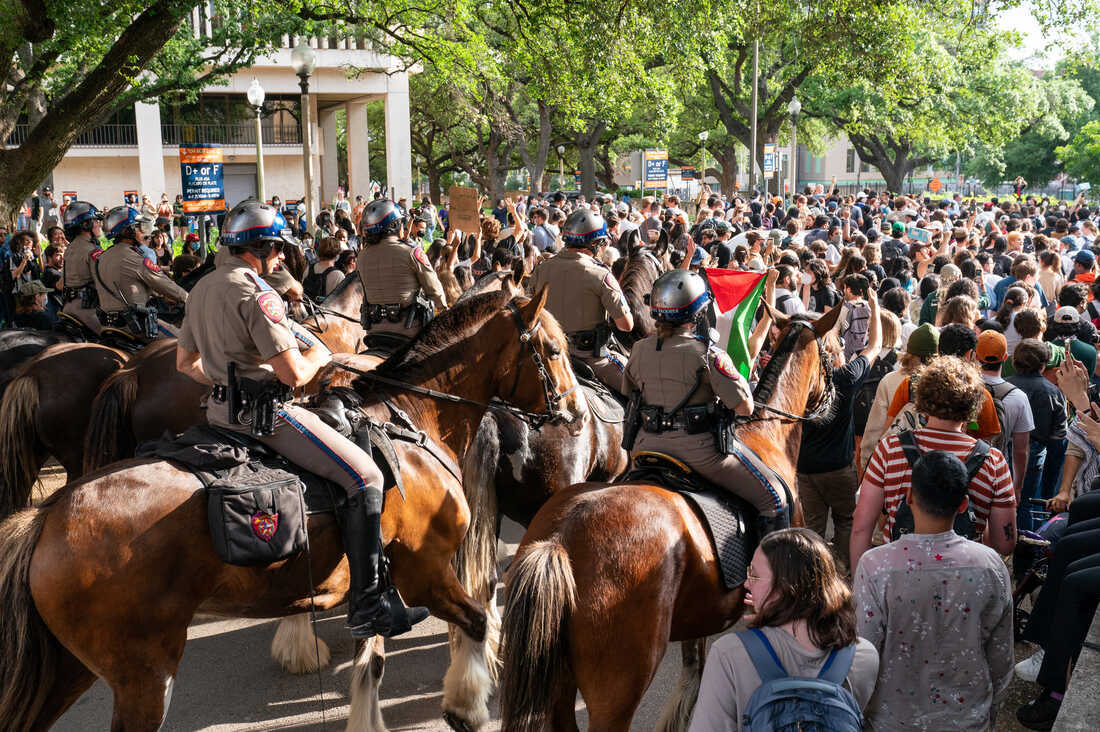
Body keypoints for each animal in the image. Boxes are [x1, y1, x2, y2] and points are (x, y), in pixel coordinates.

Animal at [501, 308, 840, 730]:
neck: (766, 435)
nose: (835, 400)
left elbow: (695, 678)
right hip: (618, 689)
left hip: (559, 684)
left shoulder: (705, 612)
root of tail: (560, 539)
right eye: (834, 350)